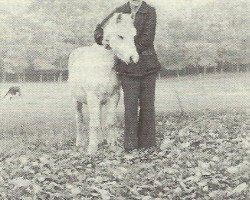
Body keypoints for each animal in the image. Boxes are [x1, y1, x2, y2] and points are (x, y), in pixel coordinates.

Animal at [67, 13, 140, 154]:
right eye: (120, 36)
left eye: (134, 36)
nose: (133, 59)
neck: (104, 66)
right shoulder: (92, 98)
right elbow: (94, 124)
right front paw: (92, 149)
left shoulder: (114, 96)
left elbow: (110, 123)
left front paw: (113, 146)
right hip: (76, 101)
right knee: (79, 120)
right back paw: (80, 142)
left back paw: (101, 140)